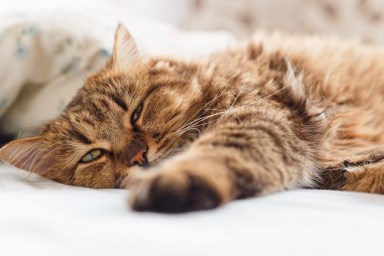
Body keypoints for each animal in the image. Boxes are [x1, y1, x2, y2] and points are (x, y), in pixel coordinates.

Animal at [0, 24, 384, 212]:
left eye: (136, 112)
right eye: (93, 155)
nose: (138, 156)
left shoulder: (261, 117)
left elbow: (217, 154)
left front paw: (177, 182)